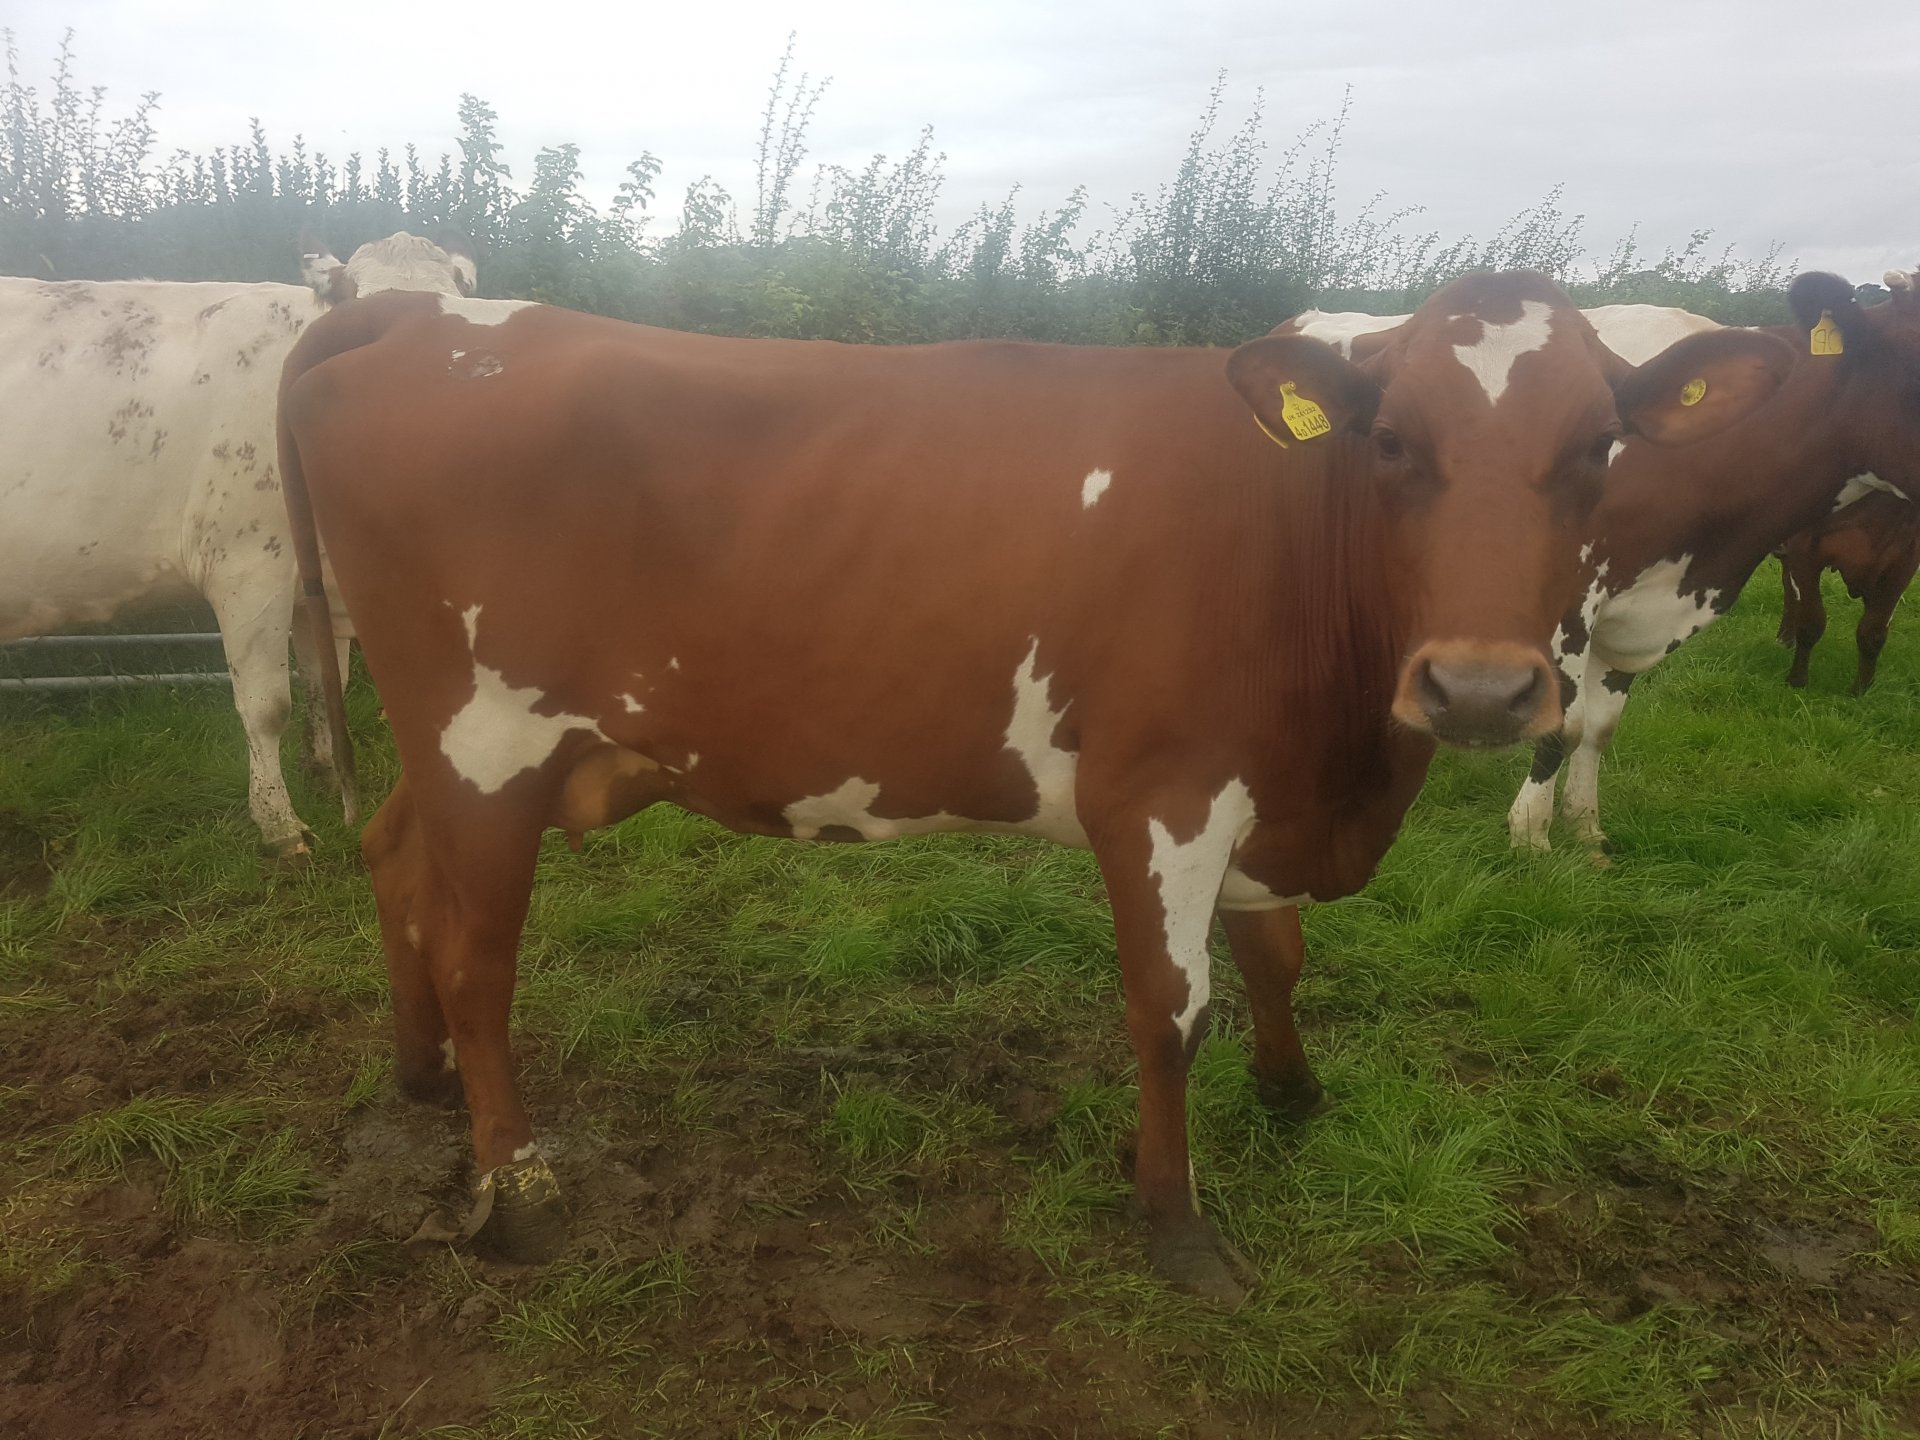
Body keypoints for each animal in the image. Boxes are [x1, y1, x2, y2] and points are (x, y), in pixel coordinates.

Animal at [0, 232, 474, 858]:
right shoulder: (247, 564)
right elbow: (267, 705)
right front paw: (280, 824)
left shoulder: (310, 579)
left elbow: (326, 681)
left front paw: (324, 775)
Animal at [277, 271, 1785, 1302]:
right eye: (1394, 443)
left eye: (1597, 448)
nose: (1478, 689)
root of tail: (415, 308)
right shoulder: (1162, 793)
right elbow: (1174, 1004)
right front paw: (1176, 1221)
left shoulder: (1262, 788)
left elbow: (1278, 953)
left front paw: (1294, 1093)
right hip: (486, 738)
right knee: (477, 948)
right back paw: (514, 1182)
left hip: (452, 749)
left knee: (395, 862)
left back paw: (417, 1078)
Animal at [1777, 478, 1919, 693]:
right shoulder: (1804, 550)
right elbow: (1811, 623)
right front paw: (1797, 681)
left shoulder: (1903, 563)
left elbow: (1873, 632)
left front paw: (1862, 690)